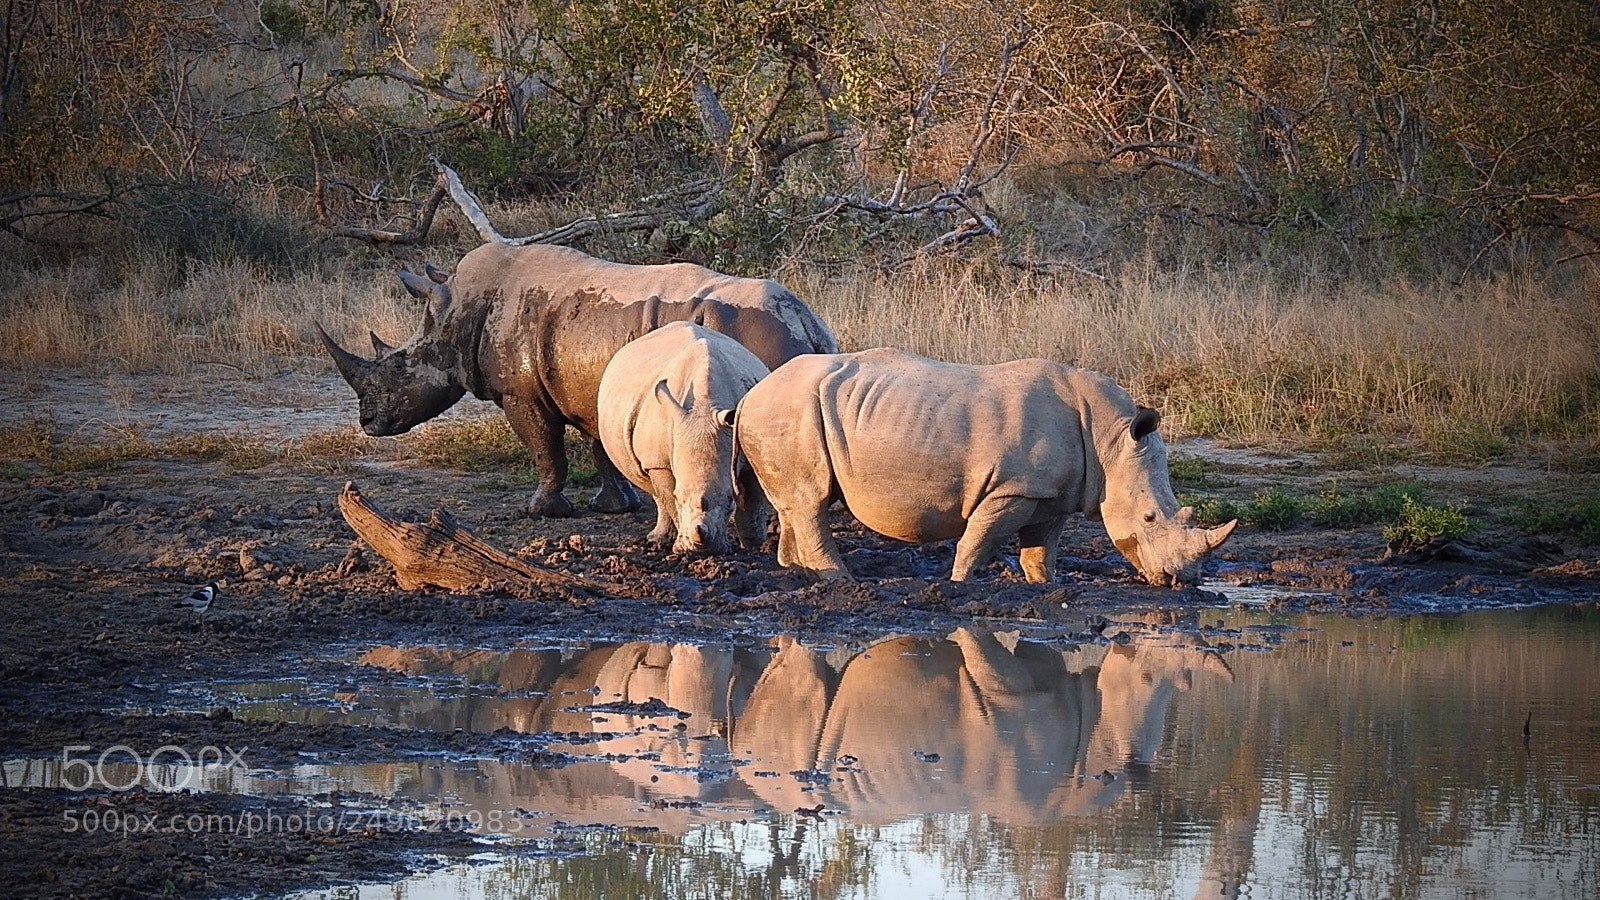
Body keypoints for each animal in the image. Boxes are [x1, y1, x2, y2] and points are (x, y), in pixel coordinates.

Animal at [317, 241, 837, 517]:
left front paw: (540, 510)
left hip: (756, 333)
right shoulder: (589, 385)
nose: (367, 423)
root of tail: (806, 321)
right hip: (794, 334)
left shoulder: (519, 392)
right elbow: (599, 445)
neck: (453, 315)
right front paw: (615, 506)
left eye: (398, 368)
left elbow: (546, 447)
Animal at [598, 322, 770, 553]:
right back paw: (657, 540)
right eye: (679, 496)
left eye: (730, 500)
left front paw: (756, 547)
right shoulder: (658, 461)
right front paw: (683, 548)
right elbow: (669, 499)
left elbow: (753, 504)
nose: (706, 549)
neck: (705, 406)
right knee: (656, 490)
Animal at [734, 348, 1237, 586]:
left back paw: (799, 574)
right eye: (1150, 518)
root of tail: (752, 390)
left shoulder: (1051, 494)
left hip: (788, 411)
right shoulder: (1012, 488)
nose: (1181, 580)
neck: (1112, 441)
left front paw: (1046, 585)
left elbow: (1040, 550)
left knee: (797, 501)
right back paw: (842, 580)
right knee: (811, 501)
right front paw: (959, 584)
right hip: (787, 409)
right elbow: (977, 542)